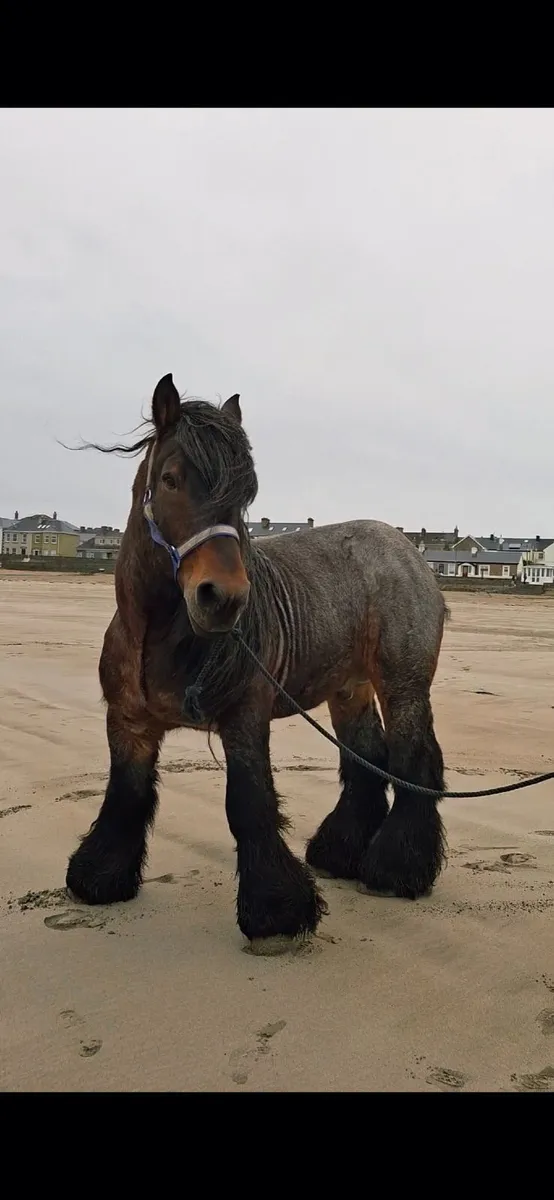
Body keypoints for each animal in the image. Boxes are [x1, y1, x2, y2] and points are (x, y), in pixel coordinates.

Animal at [66, 373, 448, 950]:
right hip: (348, 688)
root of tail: (408, 550)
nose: (222, 598)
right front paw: (101, 877)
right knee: (367, 758)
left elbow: (249, 803)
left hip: (402, 684)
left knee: (412, 761)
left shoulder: (244, 719)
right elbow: (125, 798)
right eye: (171, 479)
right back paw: (339, 853)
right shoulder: (129, 725)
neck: (158, 635)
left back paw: (397, 869)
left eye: (245, 494)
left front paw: (275, 909)